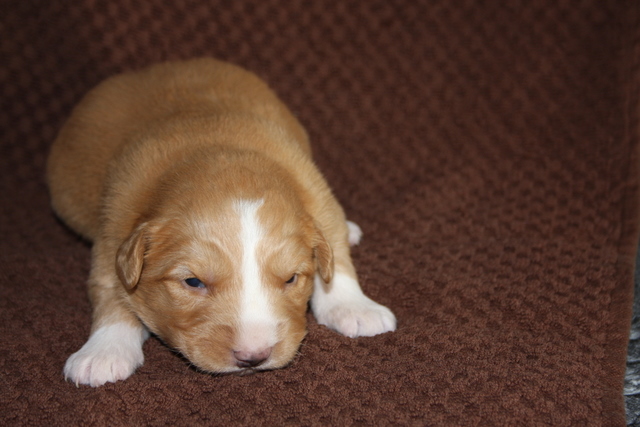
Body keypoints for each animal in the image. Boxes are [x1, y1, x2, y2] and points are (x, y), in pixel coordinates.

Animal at [47, 58, 396, 387]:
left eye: (291, 279)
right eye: (193, 282)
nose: (253, 356)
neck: (216, 151)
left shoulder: (318, 195)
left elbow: (336, 259)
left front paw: (355, 307)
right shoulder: (112, 231)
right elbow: (110, 289)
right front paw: (104, 350)